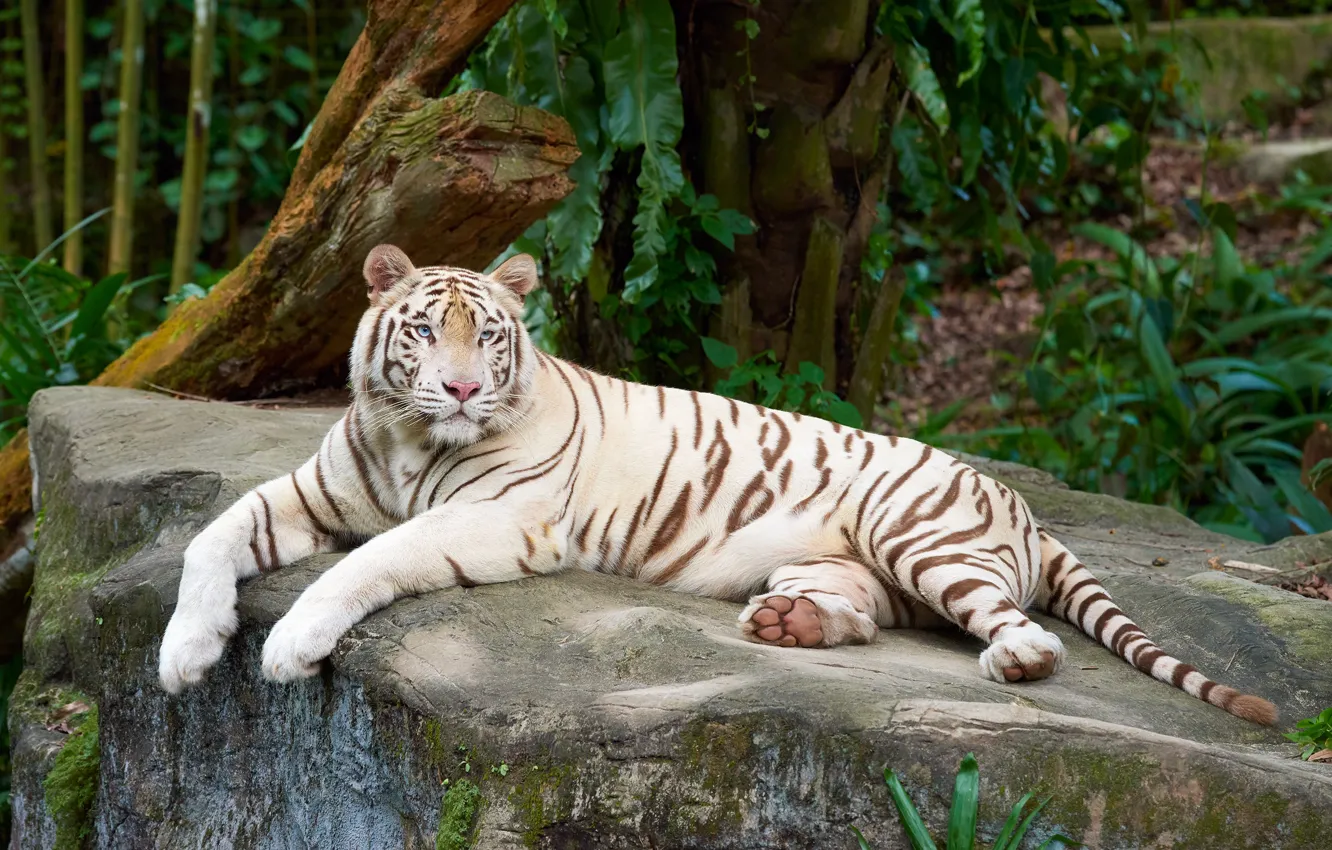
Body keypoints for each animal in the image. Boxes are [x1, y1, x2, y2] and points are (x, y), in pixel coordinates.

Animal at [157, 244, 1278, 726]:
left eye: (490, 336)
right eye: (426, 332)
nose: (465, 387)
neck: (403, 436)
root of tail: (1022, 505)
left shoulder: (495, 520)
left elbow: (371, 561)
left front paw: (290, 648)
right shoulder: (314, 488)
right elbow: (210, 537)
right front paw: (182, 656)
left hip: (921, 534)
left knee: (1025, 632)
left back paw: (1008, 662)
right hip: (851, 564)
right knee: (866, 613)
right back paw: (788, 626)